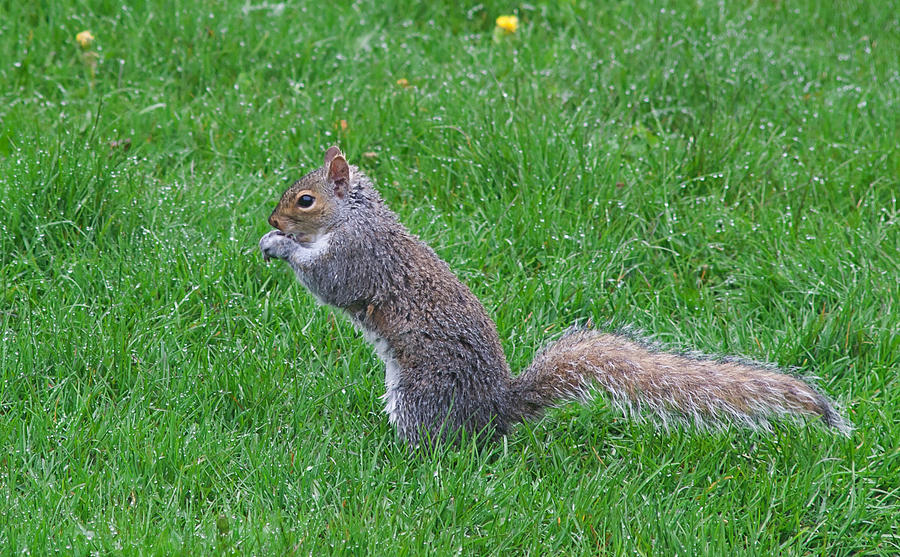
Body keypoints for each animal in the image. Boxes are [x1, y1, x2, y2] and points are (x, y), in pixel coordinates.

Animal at [260, 146, 852, 446]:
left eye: (305, 200)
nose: (271, 220)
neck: (356, 218)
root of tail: (495, 410)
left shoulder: (361, 257)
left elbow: (329, 280)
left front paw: (281, 248)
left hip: (420, 394)